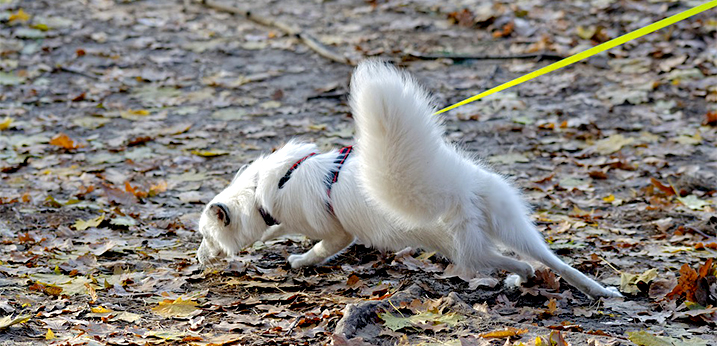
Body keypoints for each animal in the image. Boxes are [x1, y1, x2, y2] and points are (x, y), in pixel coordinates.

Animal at [197, 59, 620, 298]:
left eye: (205, 237)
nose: (196, 258)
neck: (262, 190)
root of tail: (456, 190)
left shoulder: (336, 233)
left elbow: (316, 248)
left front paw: (299, 261)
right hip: (511, 226)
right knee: (551, 262)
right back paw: (595, 290)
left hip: (465, 250)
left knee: (508, 261)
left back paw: (525, 278)